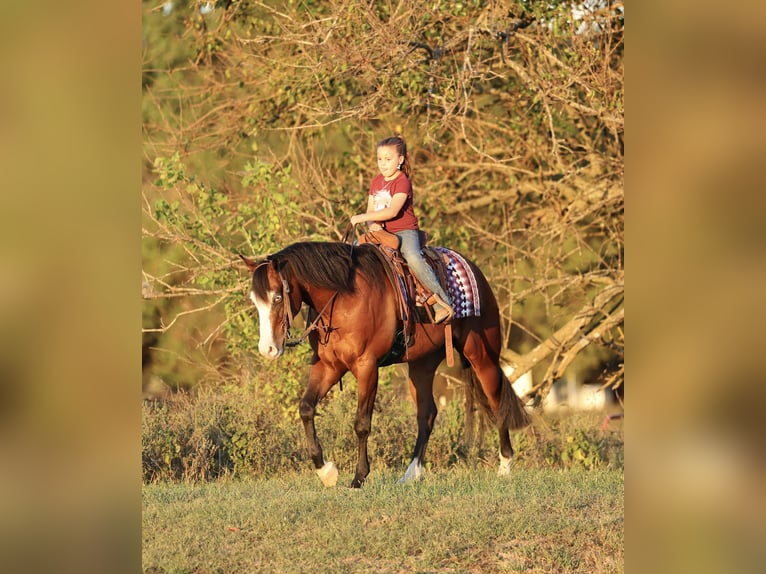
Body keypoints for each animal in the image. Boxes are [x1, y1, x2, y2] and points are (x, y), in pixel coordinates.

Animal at [241, 241, 530, 488]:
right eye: (254, 301)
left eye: (278, 298)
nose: (267, 349)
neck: (343, 298)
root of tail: (473, 270)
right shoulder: (328, 366)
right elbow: (306, 409)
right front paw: (327, 472)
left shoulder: (366, 367)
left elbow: (361, 423)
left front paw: (358, 478)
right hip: (421, 365)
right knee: (427, 414)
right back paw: (411, 475)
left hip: (481, 355)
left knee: (497, 402)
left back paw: (505, 466)